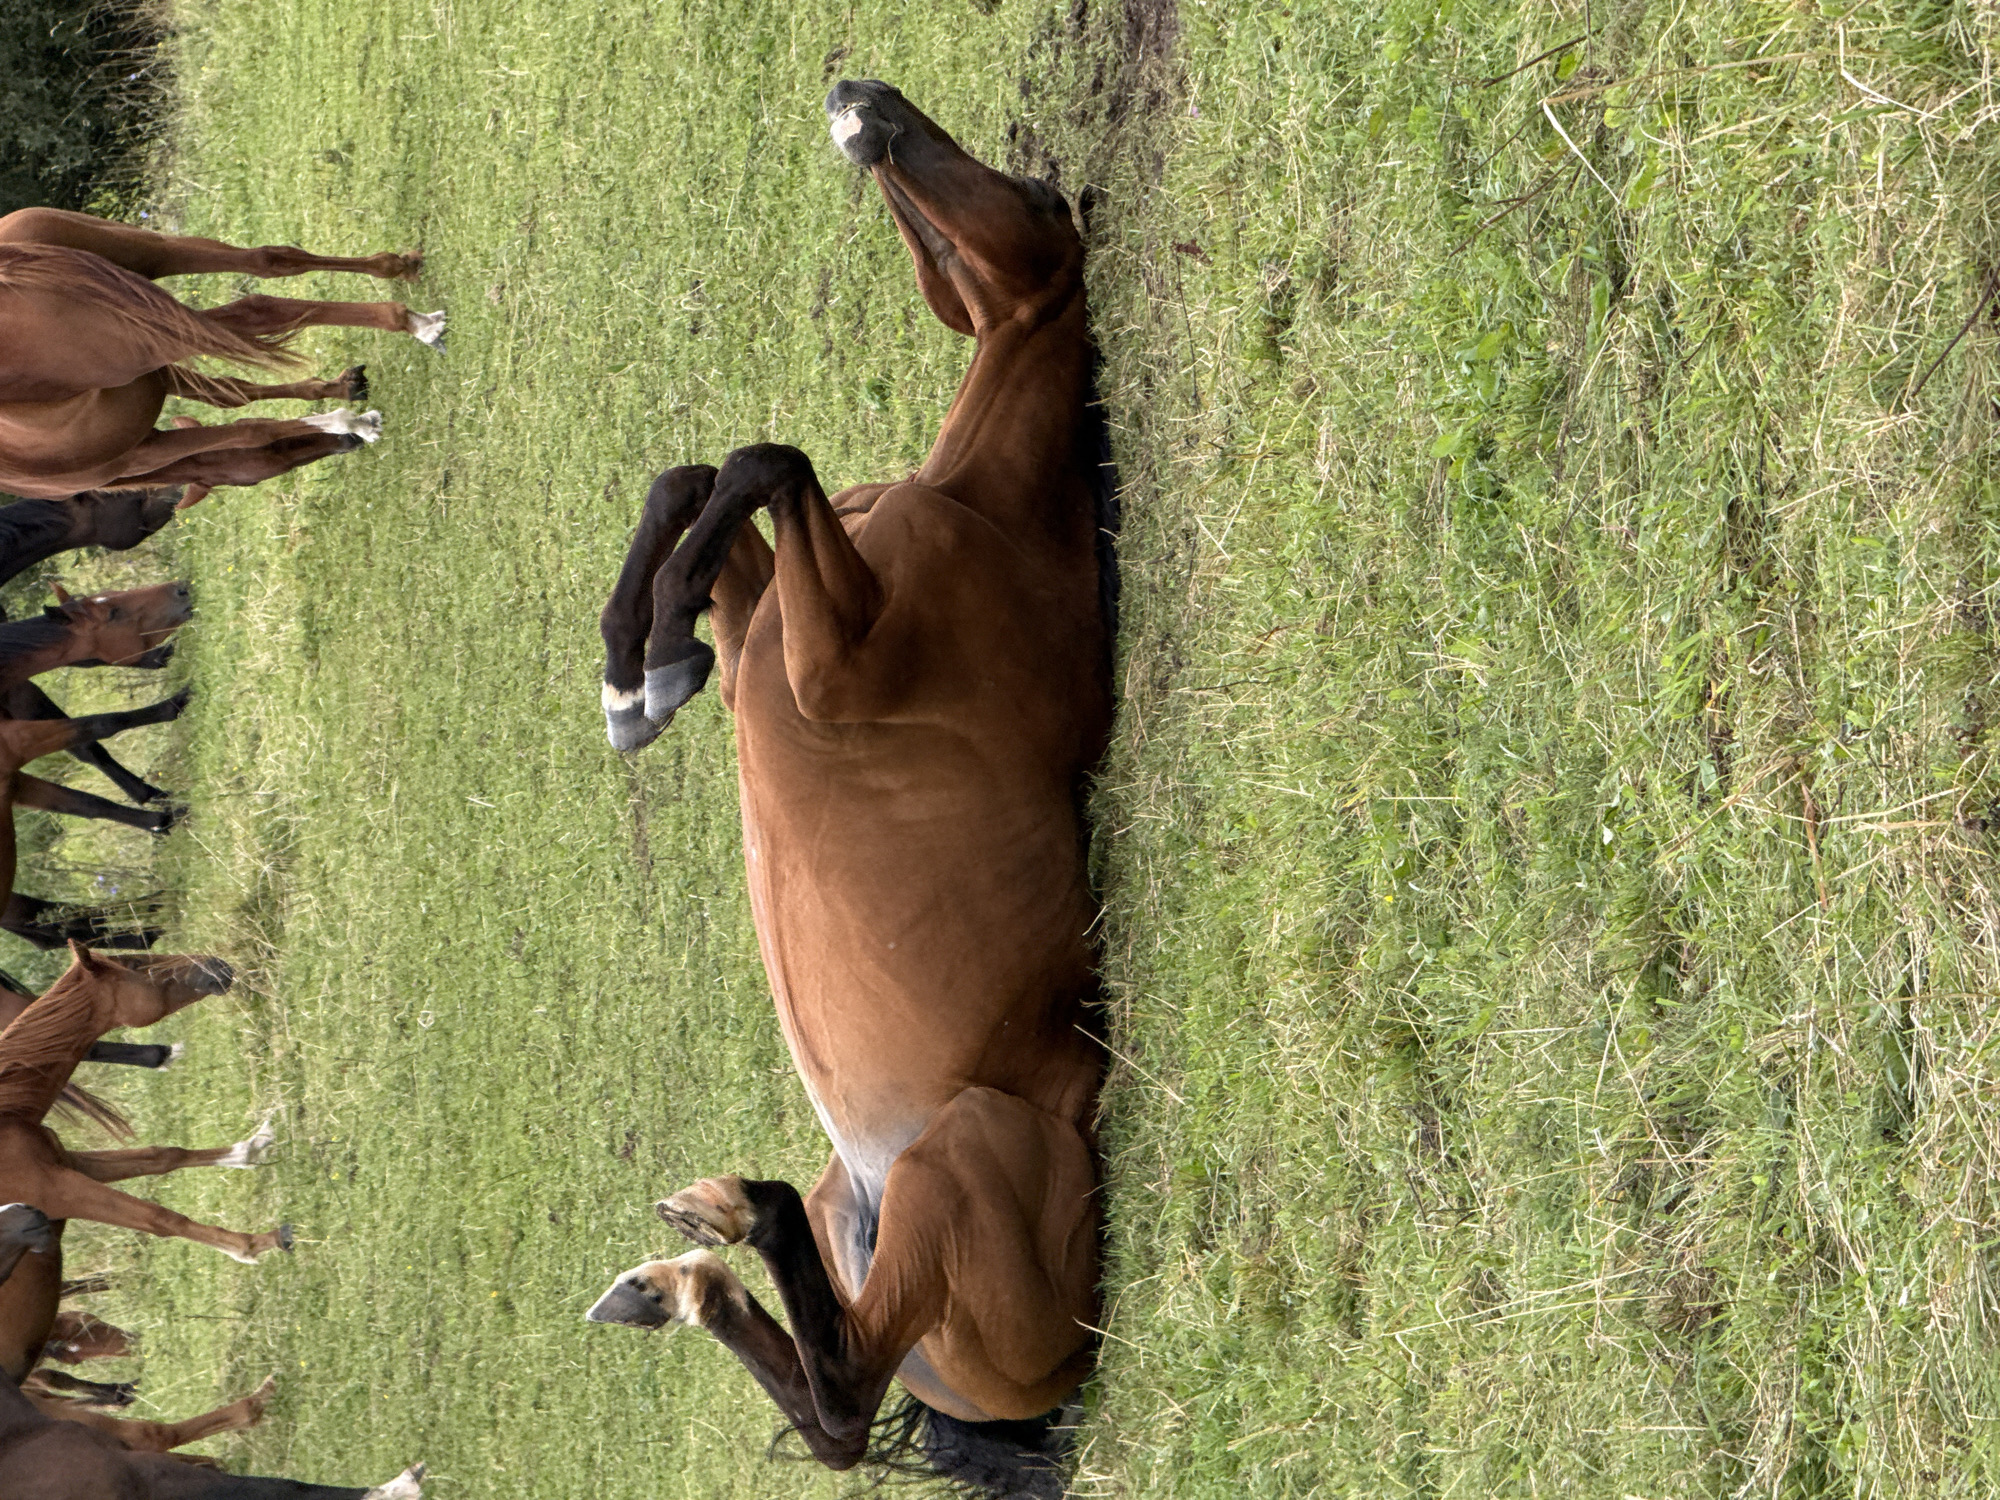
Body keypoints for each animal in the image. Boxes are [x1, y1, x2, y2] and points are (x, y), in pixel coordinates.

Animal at [0, 208, 444, 499]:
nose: (346, 444)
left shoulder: (144, 444)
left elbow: (250, 422)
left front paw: (352, 419)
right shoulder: (157, 388)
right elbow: (240, 405)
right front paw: (346, 402)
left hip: (148, 304)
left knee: (259, 302)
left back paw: (415, 322)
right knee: (267, 274)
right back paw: (401, 281)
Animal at [587, 82, 1114, 1497]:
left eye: (1027, 197)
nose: (860, 100)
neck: (985, 509)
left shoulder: (831, 670)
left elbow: (761, 462)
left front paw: (651, 661)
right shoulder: (774, 628)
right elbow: (693, 481)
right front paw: (636, 667)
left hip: (959, 1160)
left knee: (840, 1398)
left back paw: (726, 1237)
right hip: (872, 1213)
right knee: (829, 1392)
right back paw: (687, 1277)